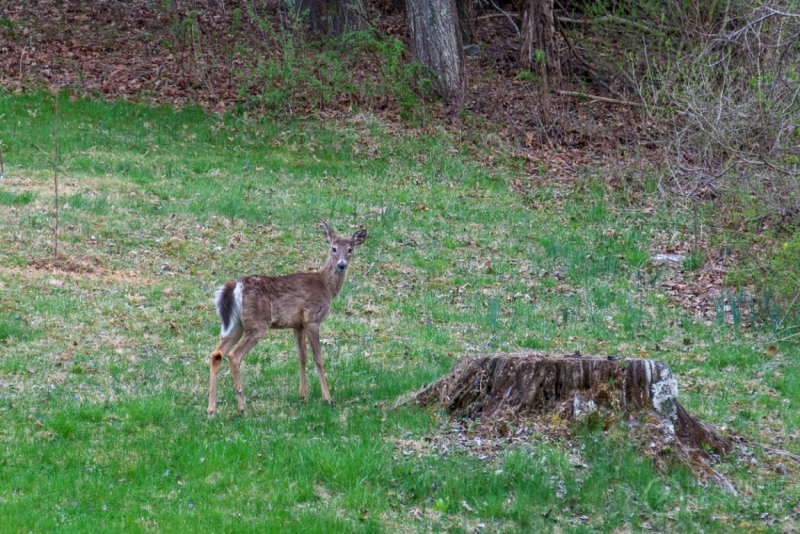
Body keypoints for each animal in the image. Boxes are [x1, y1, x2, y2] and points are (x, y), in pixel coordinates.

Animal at [206, 220, 368, 416]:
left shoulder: (298, 324)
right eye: (334, 248)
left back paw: (211, 409)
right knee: (234, 355)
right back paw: (242, 405)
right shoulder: (312, 318)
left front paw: (303, 396)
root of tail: (235, 286)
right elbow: (318, 358)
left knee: (217, 353)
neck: (326, 286)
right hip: (257, 323)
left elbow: (302, 356)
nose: (342, 264)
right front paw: (327, 397)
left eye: (350, 249)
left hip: (237, 325)